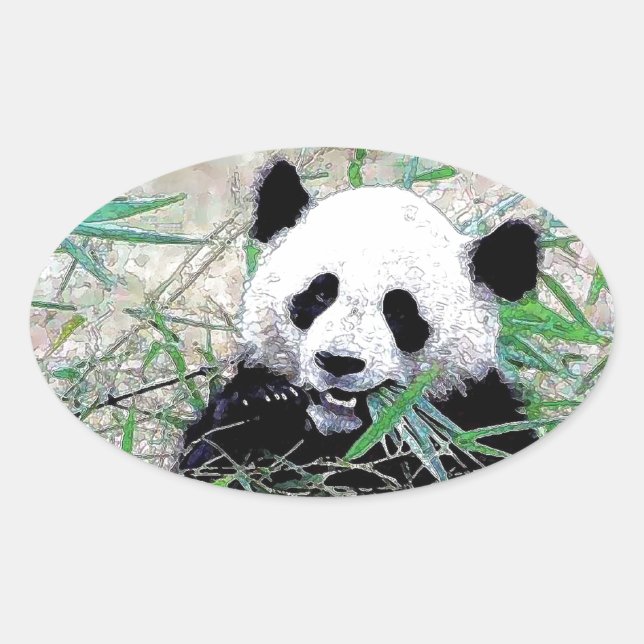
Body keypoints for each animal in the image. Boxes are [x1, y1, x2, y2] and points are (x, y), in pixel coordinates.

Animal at [181, 159, 540, 493]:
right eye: (321, 293)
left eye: (400, 312)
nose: (339, 362)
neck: (342, 434)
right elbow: (209, 459)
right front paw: (266, 402)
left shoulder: (477, 419)